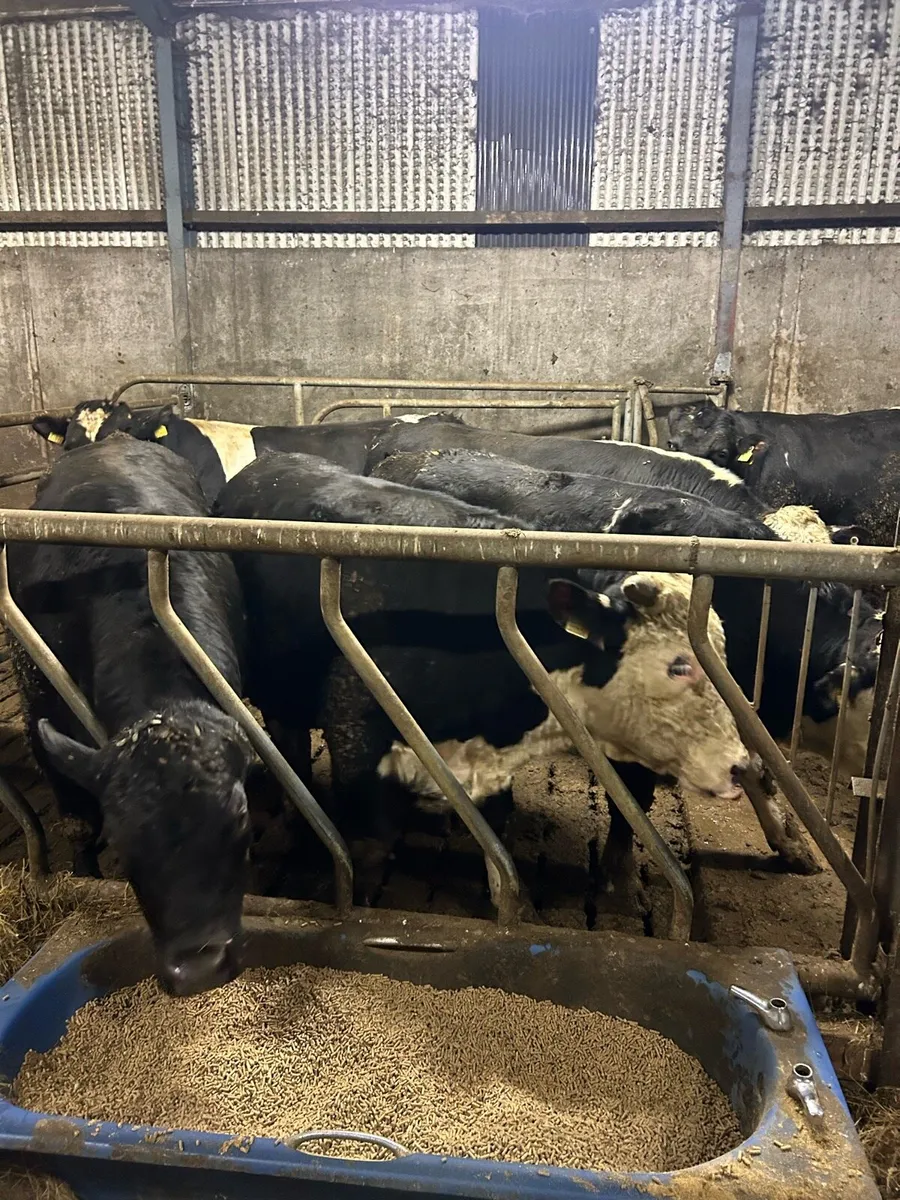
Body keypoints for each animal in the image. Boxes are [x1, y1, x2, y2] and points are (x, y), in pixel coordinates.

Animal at [7, 435, 254, 996]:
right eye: (119, 839)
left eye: (240, 817)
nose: (199, 969)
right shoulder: (41, 715)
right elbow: (77, 822)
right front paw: (86, 881)